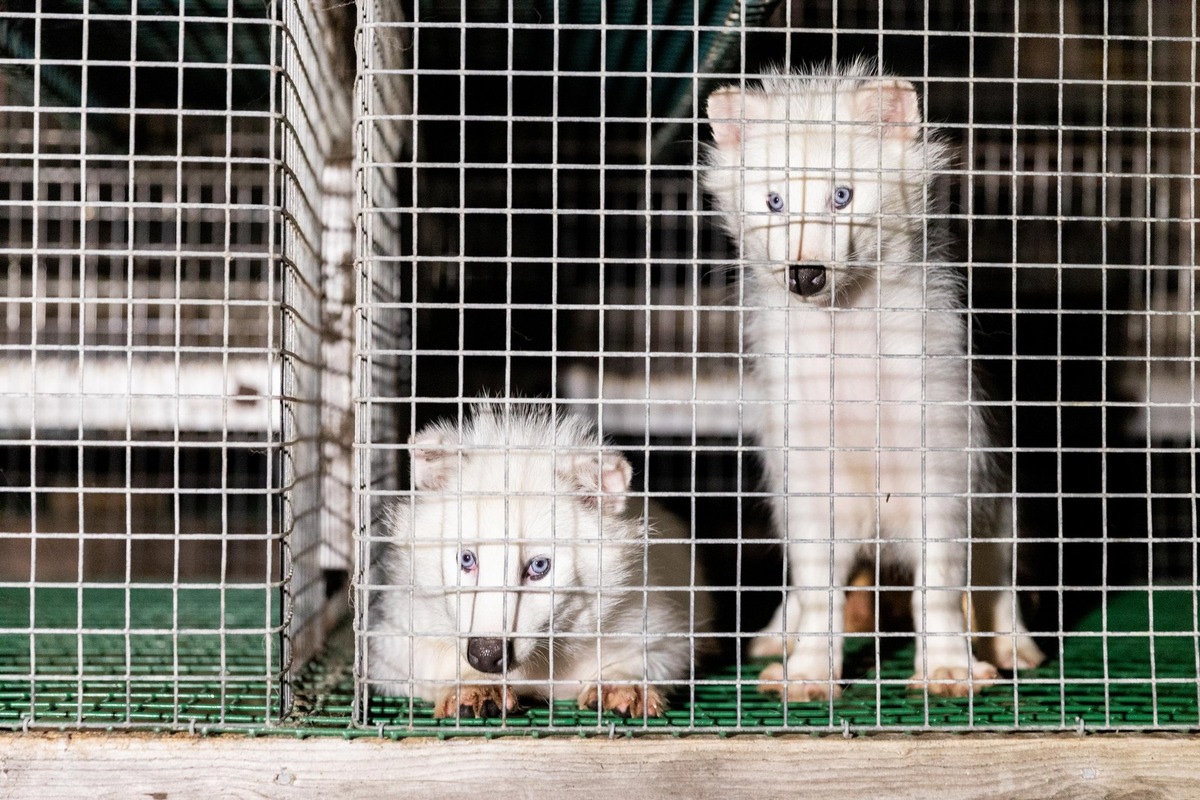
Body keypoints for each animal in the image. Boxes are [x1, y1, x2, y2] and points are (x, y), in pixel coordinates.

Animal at [369, 402, 705, 724]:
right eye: (466, 558)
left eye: (539, 565)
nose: (486, 655)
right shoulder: (394, 639)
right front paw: (474, 686)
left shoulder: (659, 628)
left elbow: (650, 657)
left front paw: (622, 684)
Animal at [700, 61, 1046, 700]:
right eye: (773, 201)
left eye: (842, 195)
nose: (806, 275)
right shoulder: (809, 485)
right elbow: (819, 594)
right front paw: (808, 674)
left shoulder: (943, 475)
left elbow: (938, 589)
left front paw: (949, 671)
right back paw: (775, 642)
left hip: (1001, 504)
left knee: (996, 580)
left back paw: (1014, 648)